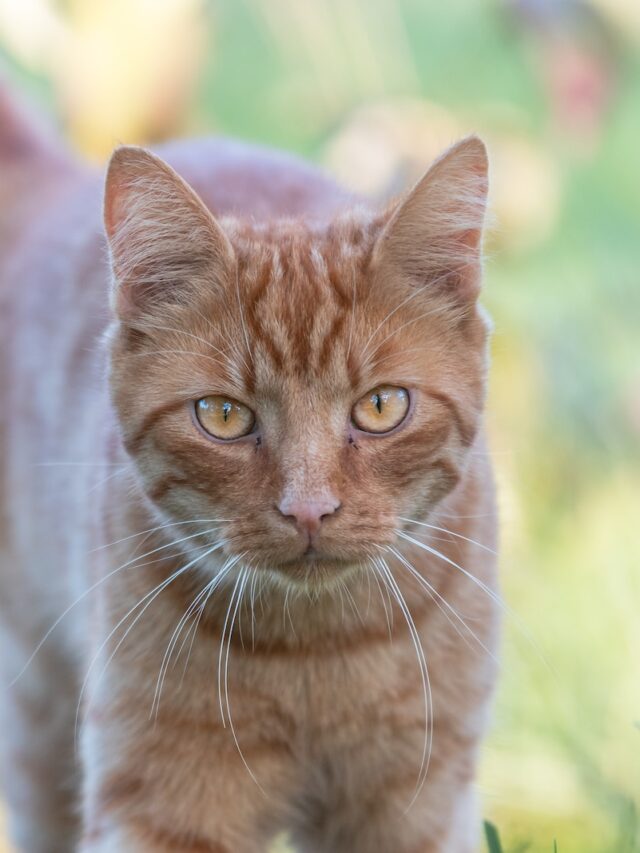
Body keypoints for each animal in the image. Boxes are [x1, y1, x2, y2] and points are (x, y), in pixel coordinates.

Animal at [0, 81, 498, 852]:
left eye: (381, 406)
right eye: (224, 416)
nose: (309, 509)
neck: (317, 651)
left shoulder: (419, 799)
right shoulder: (162, 794)